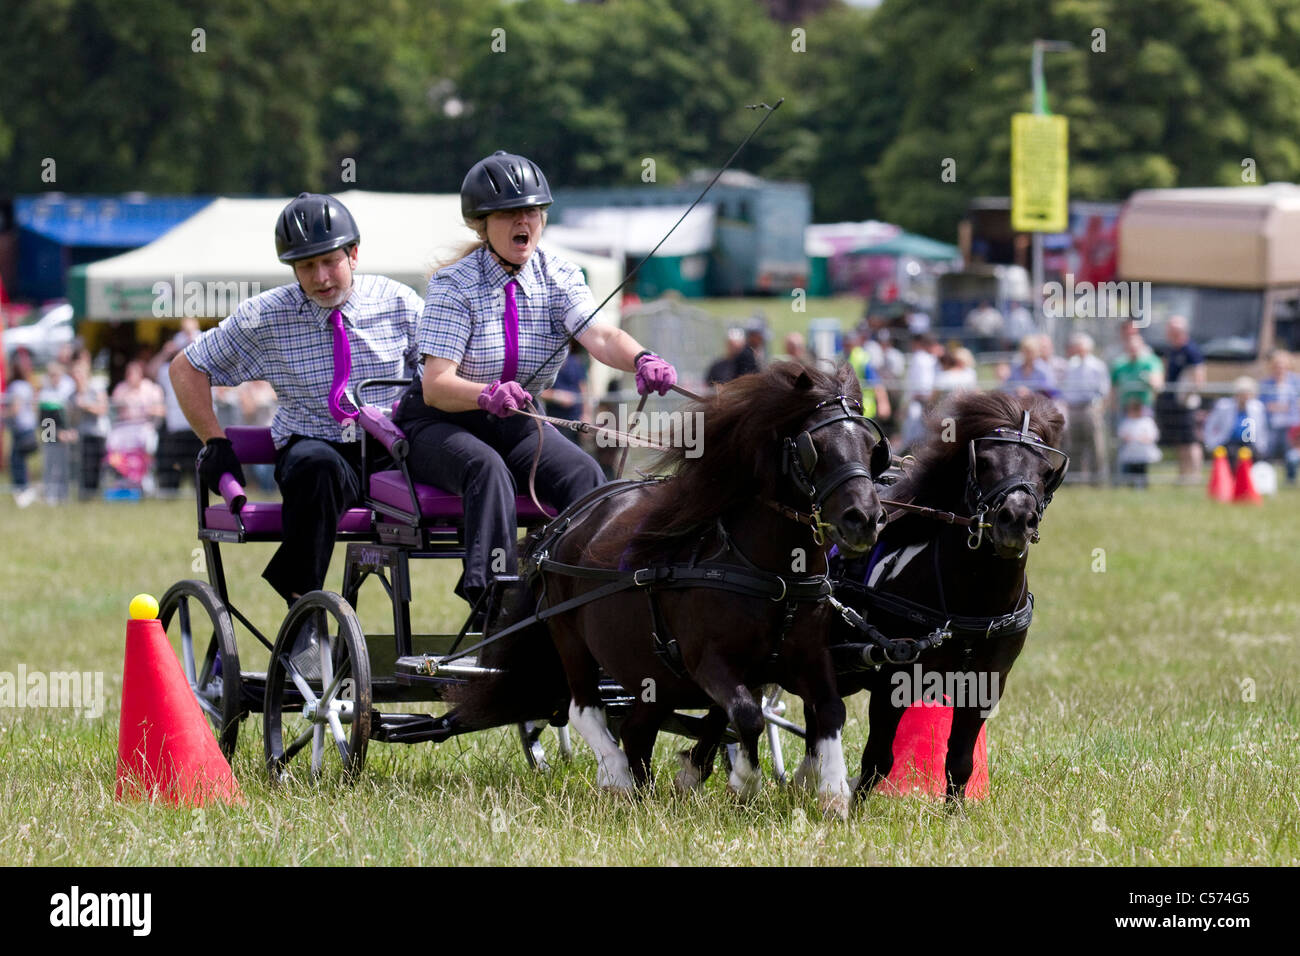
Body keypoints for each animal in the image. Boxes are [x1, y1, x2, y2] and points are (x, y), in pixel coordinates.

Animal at [452, 361, 889, 816]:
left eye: (872, 446)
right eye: (813, 446)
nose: (864, 518)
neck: (774, 573)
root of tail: (562, 524)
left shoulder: (807, 657)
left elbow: (830, 710)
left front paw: (833, 792)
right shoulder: (708, 661)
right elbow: (748, 714)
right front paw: (744, 783)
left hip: (649, 669)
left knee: (636, 726)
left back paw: (646, 783)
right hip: (570, 638)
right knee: (584, 708)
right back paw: (617, 777)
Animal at [821, 390, 1066, 801]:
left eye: (1044, 469)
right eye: (985, 462)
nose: (1016, 518)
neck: (971, 599)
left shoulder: (985, 685)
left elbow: (960, 763)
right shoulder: (892, 680)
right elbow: (877, 760)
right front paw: (853, 809)